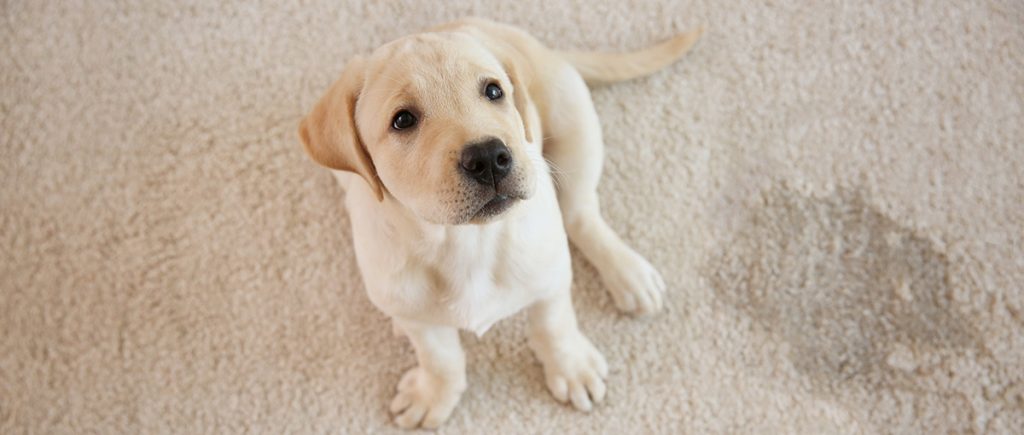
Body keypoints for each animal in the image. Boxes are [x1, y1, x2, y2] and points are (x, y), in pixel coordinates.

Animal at [299, 17, 704, 427]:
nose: (489, 157)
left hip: (574, 123)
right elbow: (440, 357)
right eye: (403, 120)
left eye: (493, 91)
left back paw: (629, 274)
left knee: (580, 214)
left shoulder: (550, 277)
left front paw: (571, 367)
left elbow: (554, 325)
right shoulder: (414, 311)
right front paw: (434, 394)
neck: (464, 242)